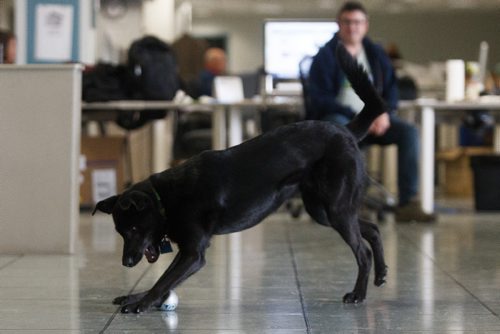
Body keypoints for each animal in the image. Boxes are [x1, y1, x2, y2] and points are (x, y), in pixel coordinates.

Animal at [95, 43, 388, 314]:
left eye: (134, 229)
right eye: (120, 232)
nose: (126, 263)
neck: (165, 199)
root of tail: (345, 131)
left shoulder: (193, 254)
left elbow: (164, 281)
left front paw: (141, 303)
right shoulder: (188, 251)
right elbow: (166, 280)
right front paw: (135, 297)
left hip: (335, 208)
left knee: (362, 252)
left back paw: (358, 294)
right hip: (322, 210)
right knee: (373, 229)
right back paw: (382, 273)